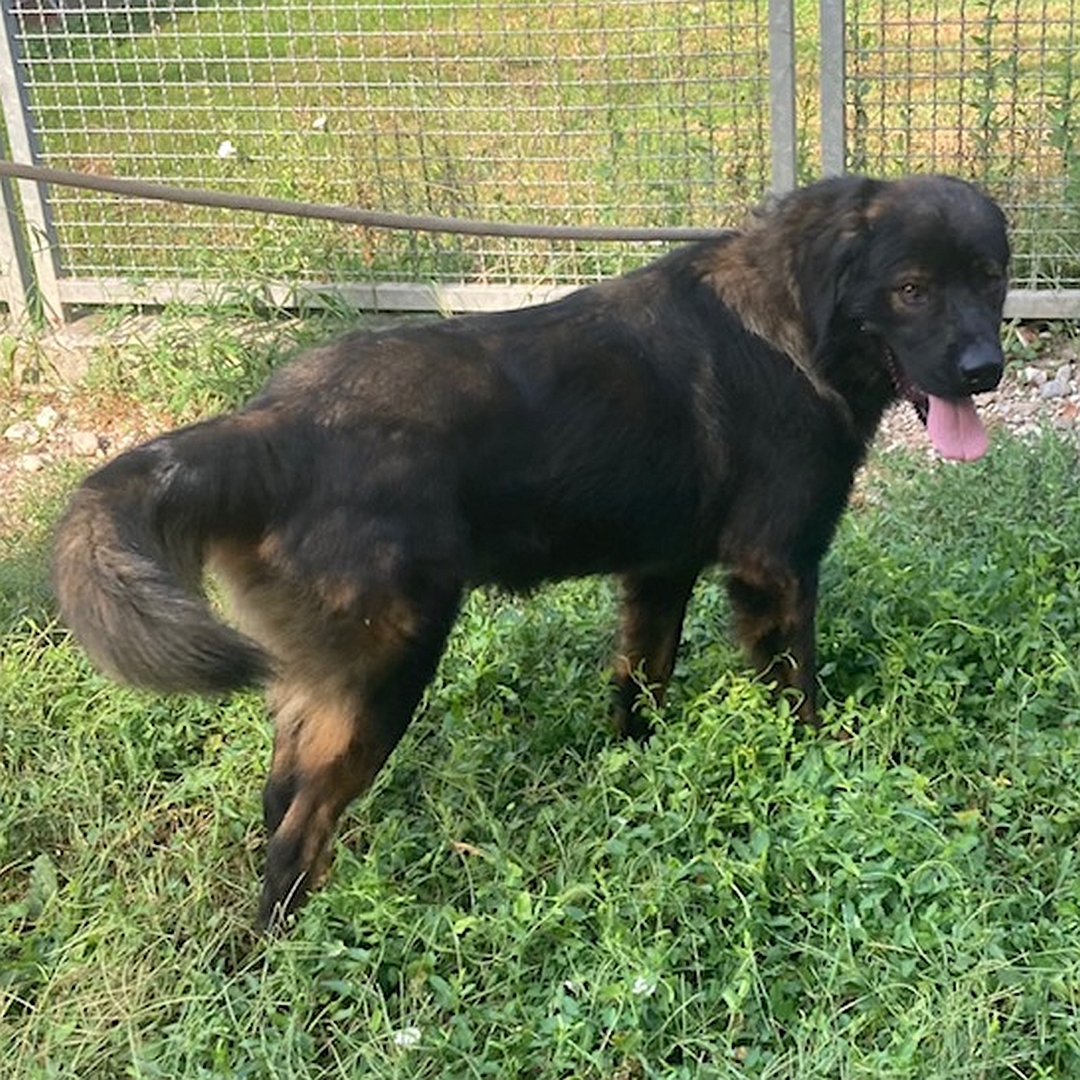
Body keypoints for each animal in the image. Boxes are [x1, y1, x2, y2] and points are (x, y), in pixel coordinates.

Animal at [52, 172, 1010, 924]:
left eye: (993, 279)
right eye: (912, 288)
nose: (986, 371)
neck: (795, 326)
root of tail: (271, 427)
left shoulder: (657, 574)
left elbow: (639, 688)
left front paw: (631, 775)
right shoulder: (775, 571)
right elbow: (798, 698)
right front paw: (819, 779)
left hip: (323, 677)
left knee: (277, 794)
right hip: (384, 674)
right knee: (295, 837)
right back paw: (278, 963)